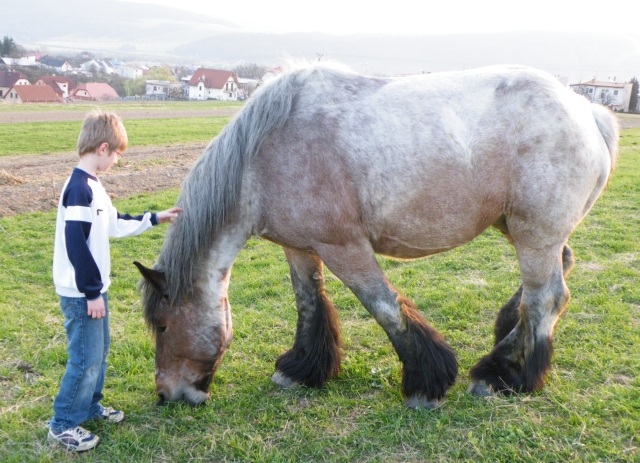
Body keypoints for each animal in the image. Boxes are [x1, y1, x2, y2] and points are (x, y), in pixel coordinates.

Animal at [134, 62, 616, 410]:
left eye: (164, 325)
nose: (166, 395)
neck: (265, 152)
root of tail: (588, 111)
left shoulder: (344, 248)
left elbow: (383, 306)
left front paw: (425, 383)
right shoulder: (299, 248)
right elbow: (308, 302)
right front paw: (302, 369)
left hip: (535, 235)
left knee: (548, 299)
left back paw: (503, 376)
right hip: (522, 229)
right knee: (554, 277)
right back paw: (504, 346)